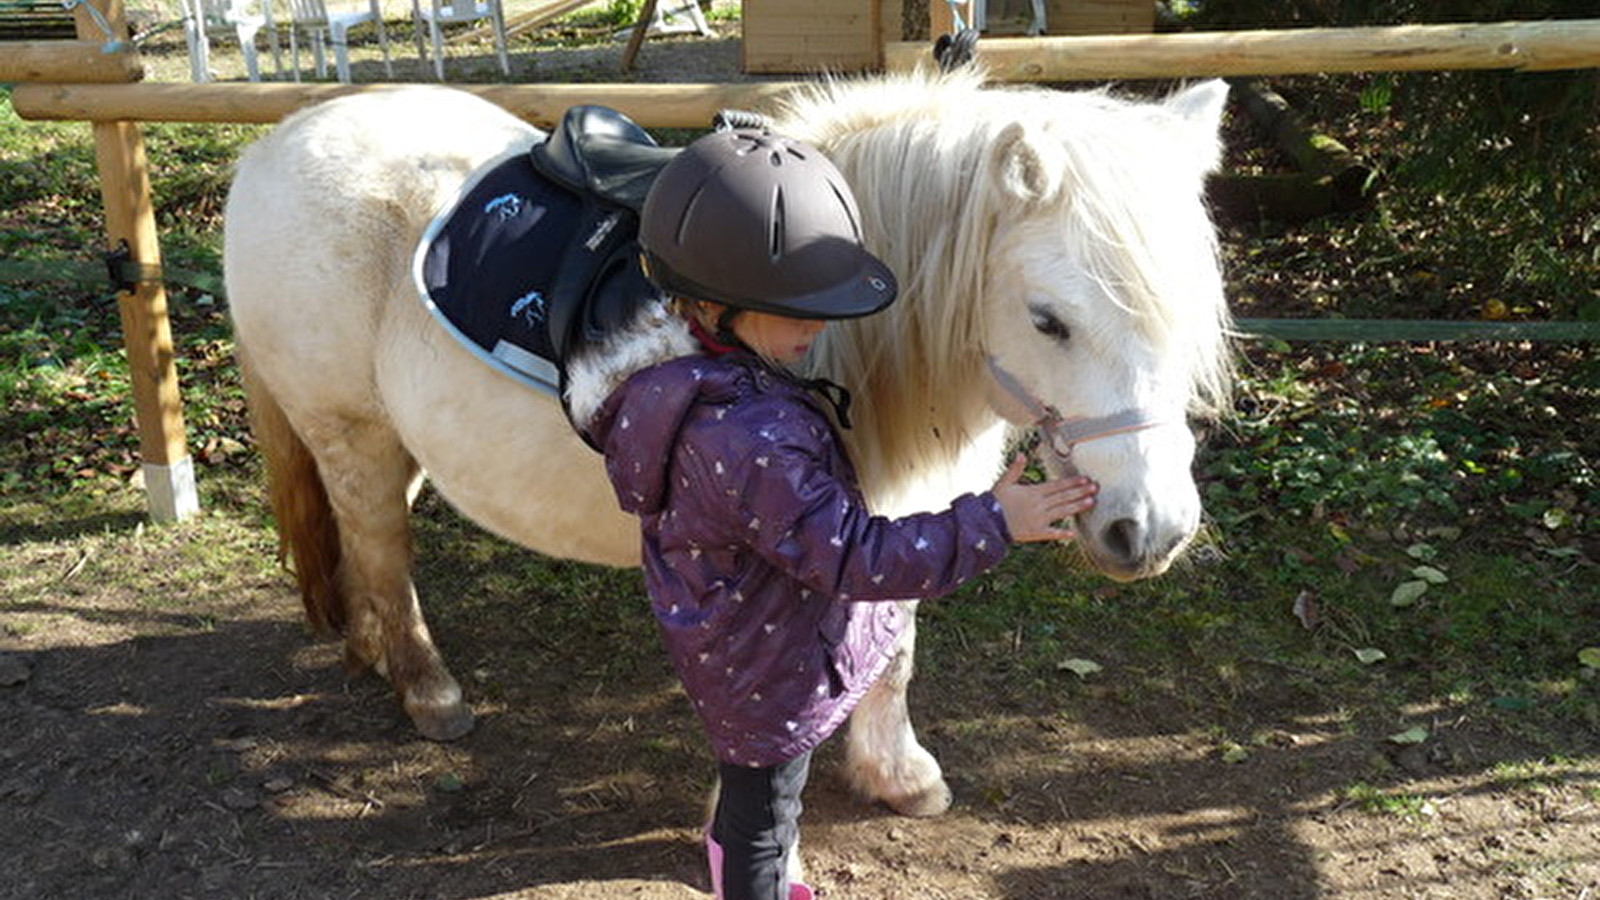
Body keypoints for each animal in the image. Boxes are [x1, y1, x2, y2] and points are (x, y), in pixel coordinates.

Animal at [219, 68, 1228, 813]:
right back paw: (428, 691)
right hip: (350, 431)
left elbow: (895, 648)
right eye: (1050, 320)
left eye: (1189, 310)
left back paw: (369, 653)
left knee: (361, 548)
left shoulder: (905, 514)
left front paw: (897, 776)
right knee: (382, 550)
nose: (1152, 530)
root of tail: (274, 144)